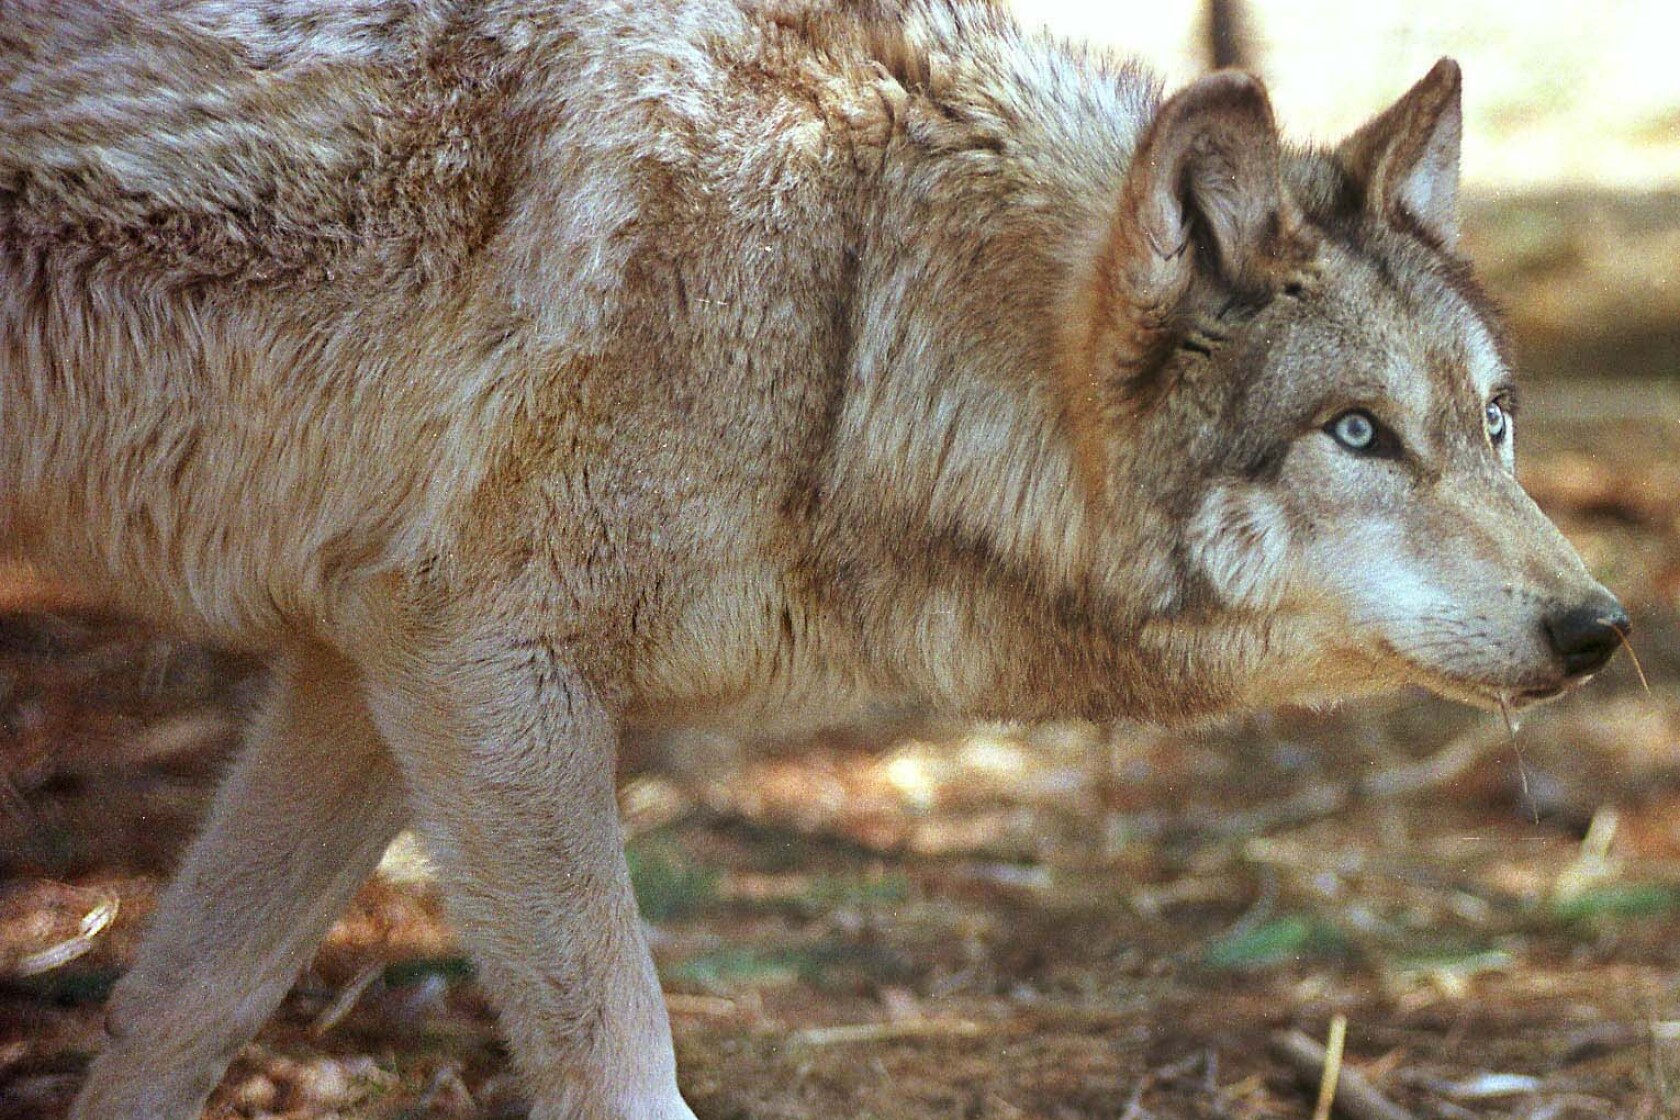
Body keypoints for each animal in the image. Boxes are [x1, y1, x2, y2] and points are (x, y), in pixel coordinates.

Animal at [0, 0, 1625, 1116]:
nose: (1599, 626)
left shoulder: (365, 669)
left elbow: (188, 1001)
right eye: (1358, 433)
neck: (847, 309)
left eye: (1492, 423)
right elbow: (624, 1069)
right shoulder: (489, 676)